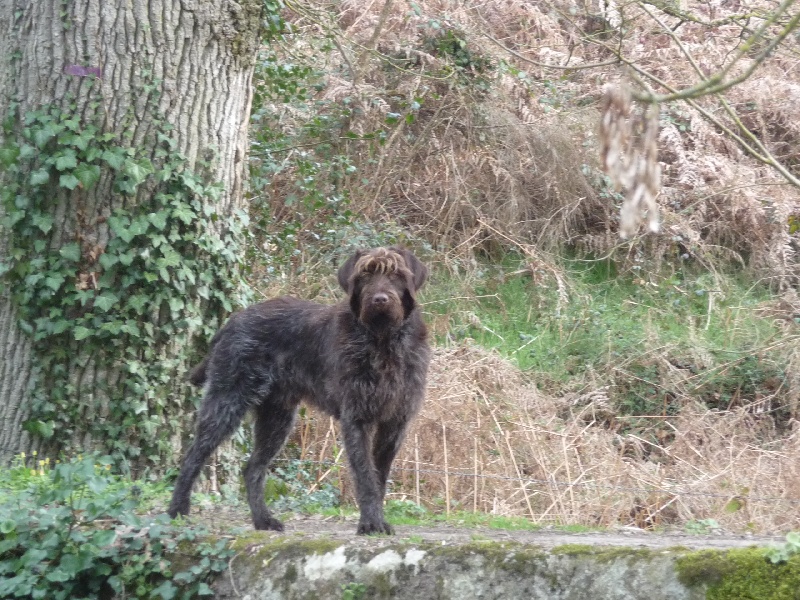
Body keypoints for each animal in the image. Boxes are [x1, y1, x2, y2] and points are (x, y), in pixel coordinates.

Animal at [167, 247, 432, 536]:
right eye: (365, 275)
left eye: (396, 274)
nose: (380, 299)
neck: (382, 342)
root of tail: (231, 321)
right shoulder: (356, 418)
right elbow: (365, 476)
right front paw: (370, 523)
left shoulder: (395, 421)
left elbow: (379, 476)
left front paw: (377, 520)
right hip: (226, 402)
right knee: (193, 455)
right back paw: (177, 510)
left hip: (277, 419)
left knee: (252, 468)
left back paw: (263, 520)